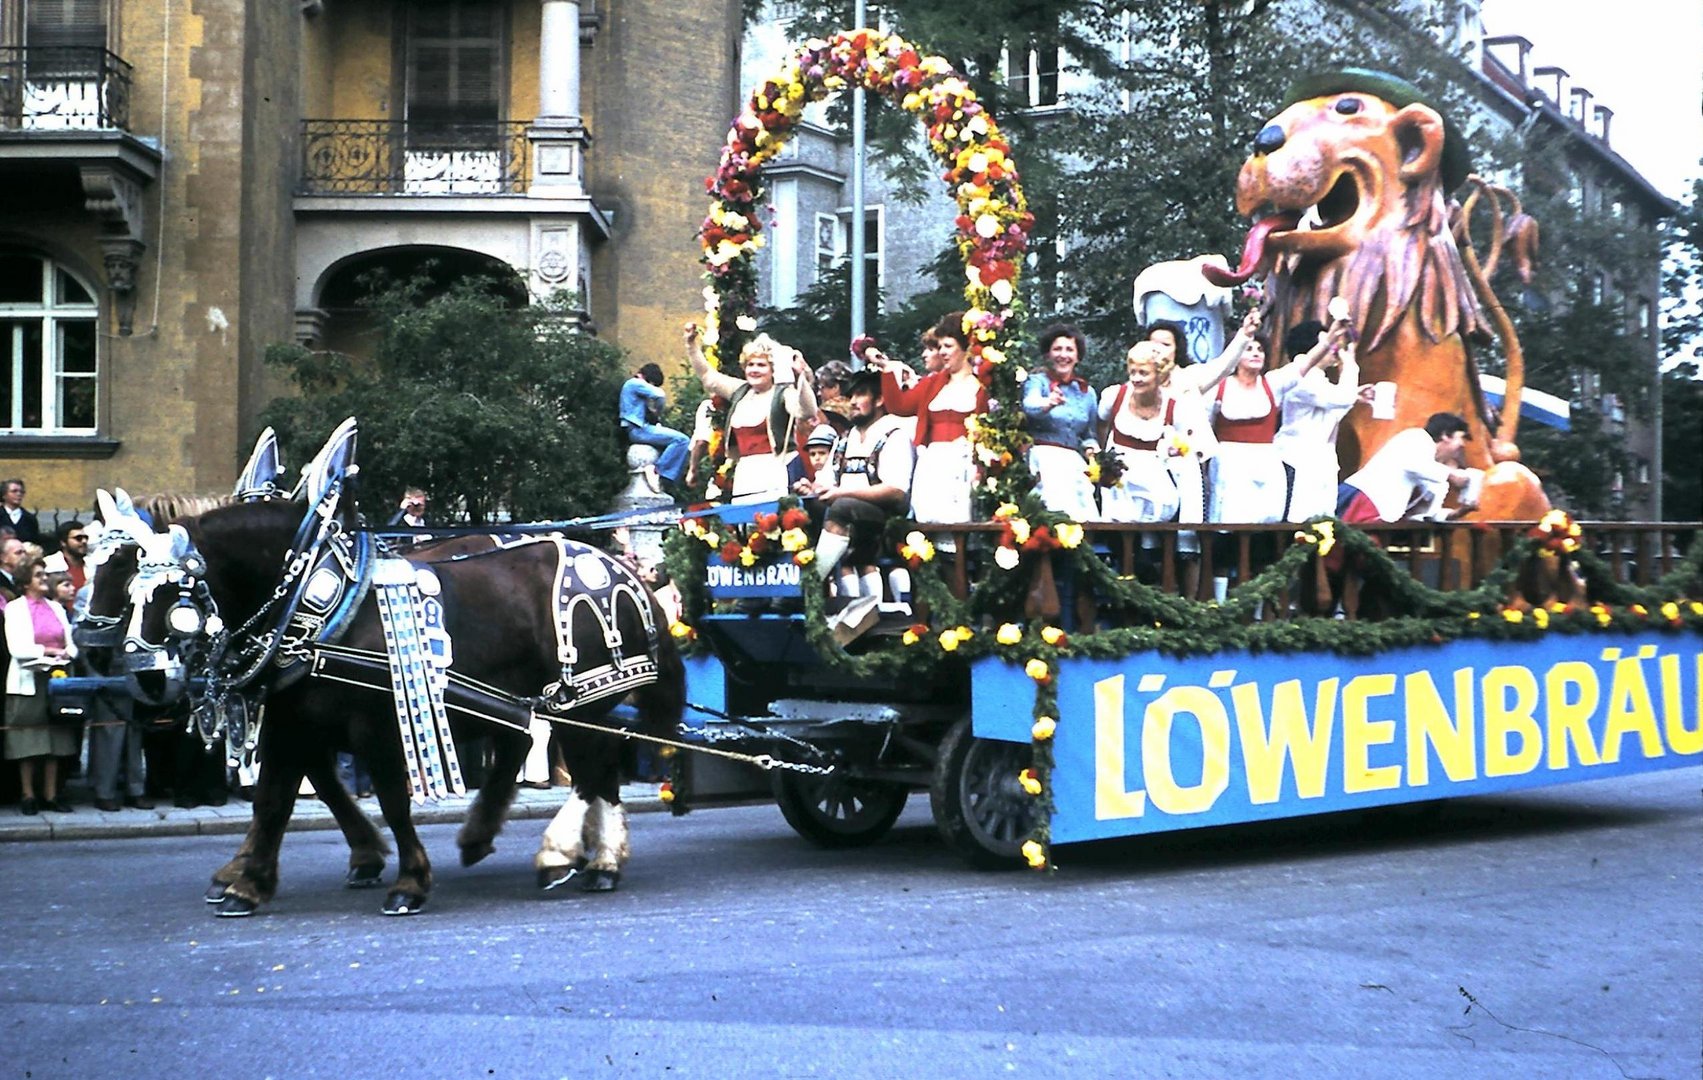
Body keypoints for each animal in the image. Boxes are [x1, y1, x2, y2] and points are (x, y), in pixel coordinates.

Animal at [94, 500, 684, 913]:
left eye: (172, 598)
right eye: (131, 592)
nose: (144, 678)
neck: (319, 610)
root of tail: (621, 566)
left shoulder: (376, 726)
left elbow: (392, 802)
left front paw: (409, 882)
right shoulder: (293, 723)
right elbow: (275, 801)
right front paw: (249, 882)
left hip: (585, 697)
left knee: (592, 773)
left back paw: (573, 855)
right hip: (544, 699)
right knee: (560, 759)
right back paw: (536, 846)